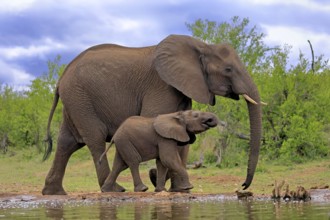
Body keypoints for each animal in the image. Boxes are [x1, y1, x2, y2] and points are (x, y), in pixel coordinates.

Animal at [42, 33, 262, 195]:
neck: (201, 46)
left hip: (75, 102)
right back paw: (115, 190)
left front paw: (176, 188)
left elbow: (182, 140)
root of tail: (61, 77)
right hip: (82, 100)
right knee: (95, 140)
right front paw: (159, 177)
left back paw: (54, 192)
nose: (243, 186)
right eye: (228, 69)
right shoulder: (161, 86)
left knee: (67, 143)